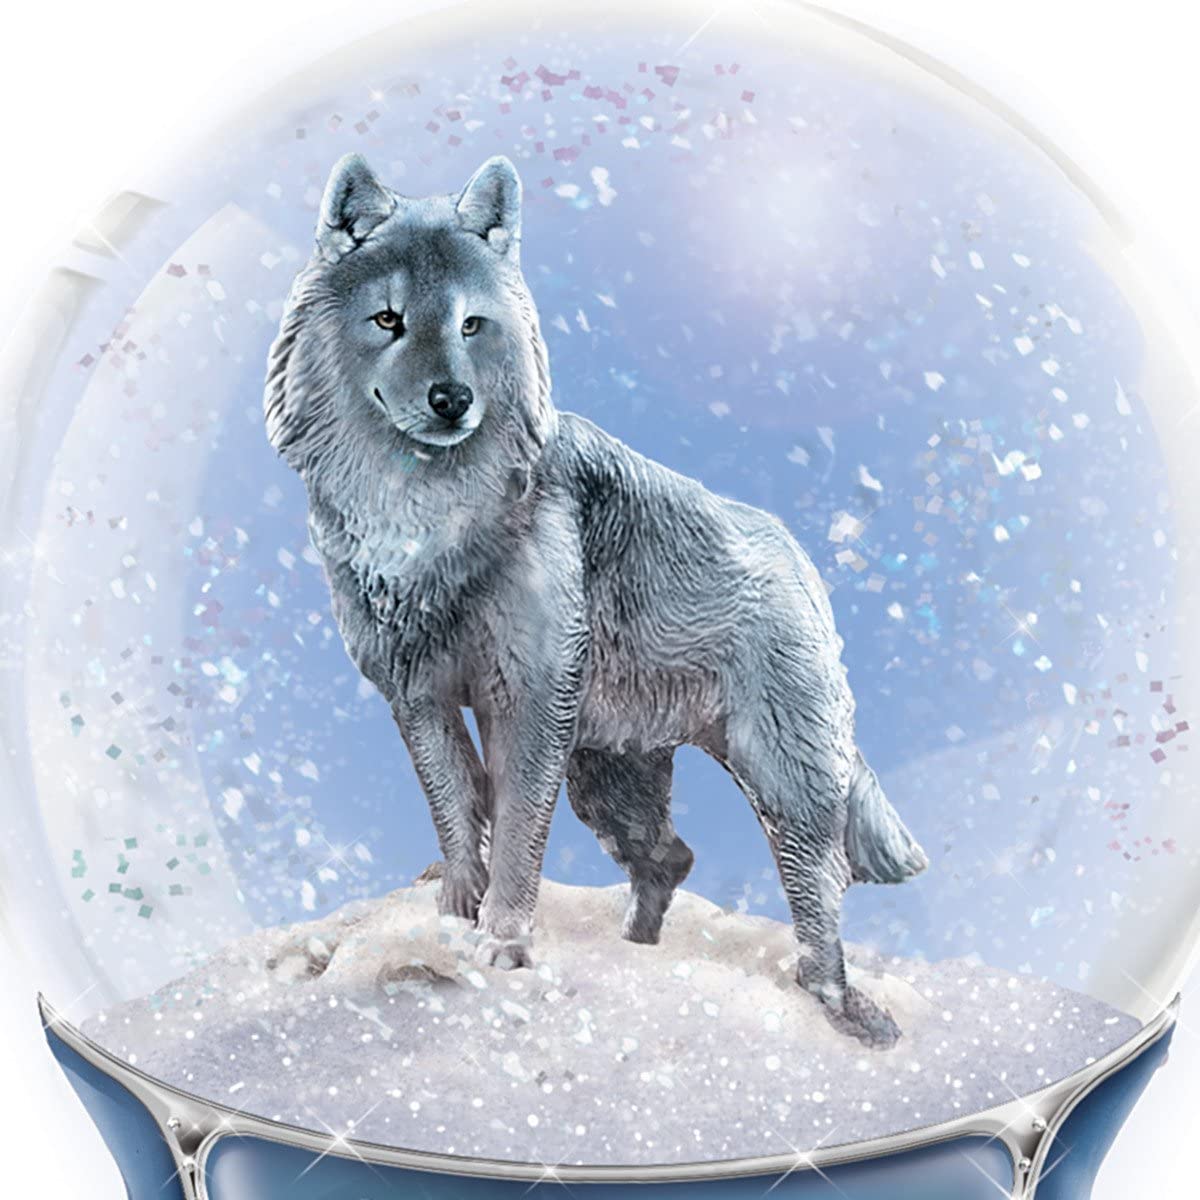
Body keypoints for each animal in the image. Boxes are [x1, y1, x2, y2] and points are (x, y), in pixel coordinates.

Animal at [264, 152, 928, 1047]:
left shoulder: (528, 703)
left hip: (775, 777)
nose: (451, 400)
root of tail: (796, 555)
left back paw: (841, 1008)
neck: (425, 522)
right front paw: (455, 915)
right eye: (389, 320)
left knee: (818, 885)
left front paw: (503, 943)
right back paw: (637, 956)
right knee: (672, 858)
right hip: (605, 778)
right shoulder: (419, 698)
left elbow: (515, 833)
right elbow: (456, 812)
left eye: (471, 325)